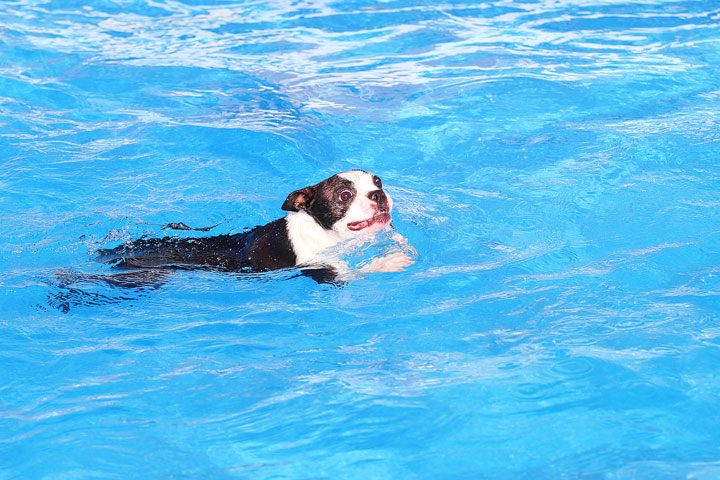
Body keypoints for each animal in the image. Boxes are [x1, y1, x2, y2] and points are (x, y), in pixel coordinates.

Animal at [98, 171, 420, 282]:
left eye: (378, 182)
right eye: (345, 195)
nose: (378, 194)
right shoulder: (320, 268)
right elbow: (355, 269)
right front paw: (391, 261)